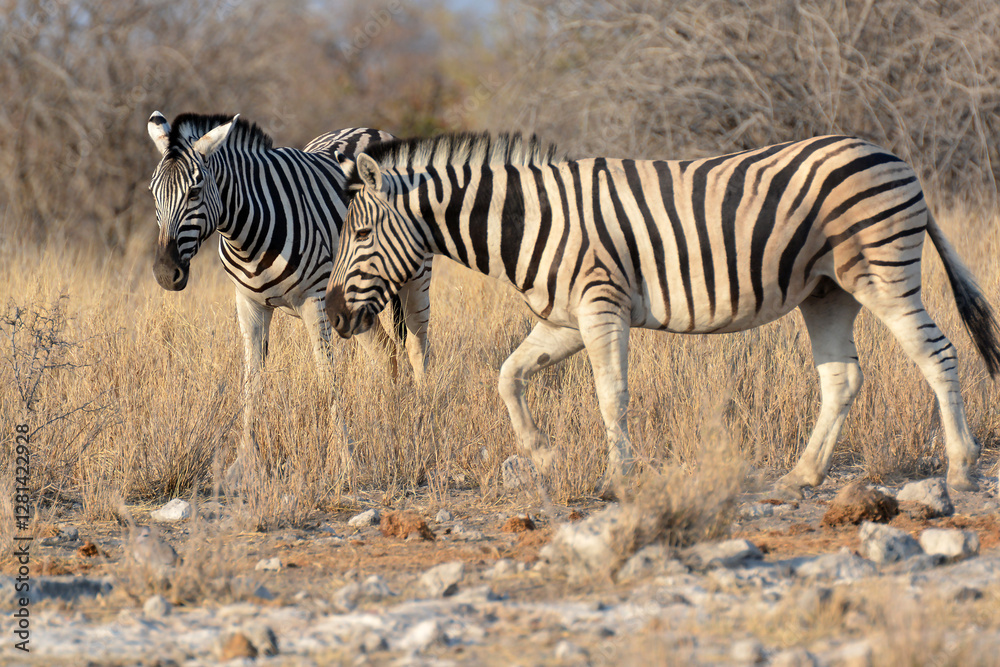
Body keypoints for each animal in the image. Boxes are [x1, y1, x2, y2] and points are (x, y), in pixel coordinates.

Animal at [146, 112, 432, 483]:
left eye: (194, 192)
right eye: (153, 193)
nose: (166, 274)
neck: (245, 234)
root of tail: (373, 130)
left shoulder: (316, 302)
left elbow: (328, 380)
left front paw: (344, 462)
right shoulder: (249, 305)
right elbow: (252, 381)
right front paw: (243, 463)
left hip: (416, 277)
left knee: (417, 346)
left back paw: (423, 429)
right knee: (386, 354)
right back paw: (393, 426)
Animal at [323, 132, 1000, 494]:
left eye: (359, 234)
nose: (330, 315)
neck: (528, 221)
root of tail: (894, 158)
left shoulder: (600, 306)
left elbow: (610, 395)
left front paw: (618, 477)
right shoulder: (564, 320)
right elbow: (508, 376)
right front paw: (545, 456)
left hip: (882, 275)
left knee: (938, 354)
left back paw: (961, 469)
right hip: (827, 291)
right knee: (842, 378)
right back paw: (803, 476)